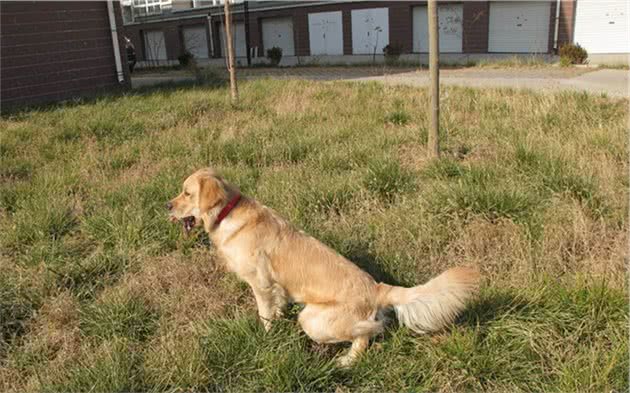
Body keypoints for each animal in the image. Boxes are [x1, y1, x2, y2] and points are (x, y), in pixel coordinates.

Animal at [167, 166, 478, 364]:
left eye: (186, 193)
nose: (166, 206)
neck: (227, 213)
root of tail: (377, 288)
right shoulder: (276, 287)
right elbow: (277, 308)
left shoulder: (261, 284)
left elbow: (265, 316)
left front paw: (266, 338)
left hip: (312, 319)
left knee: (368, 334)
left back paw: (345, 360)